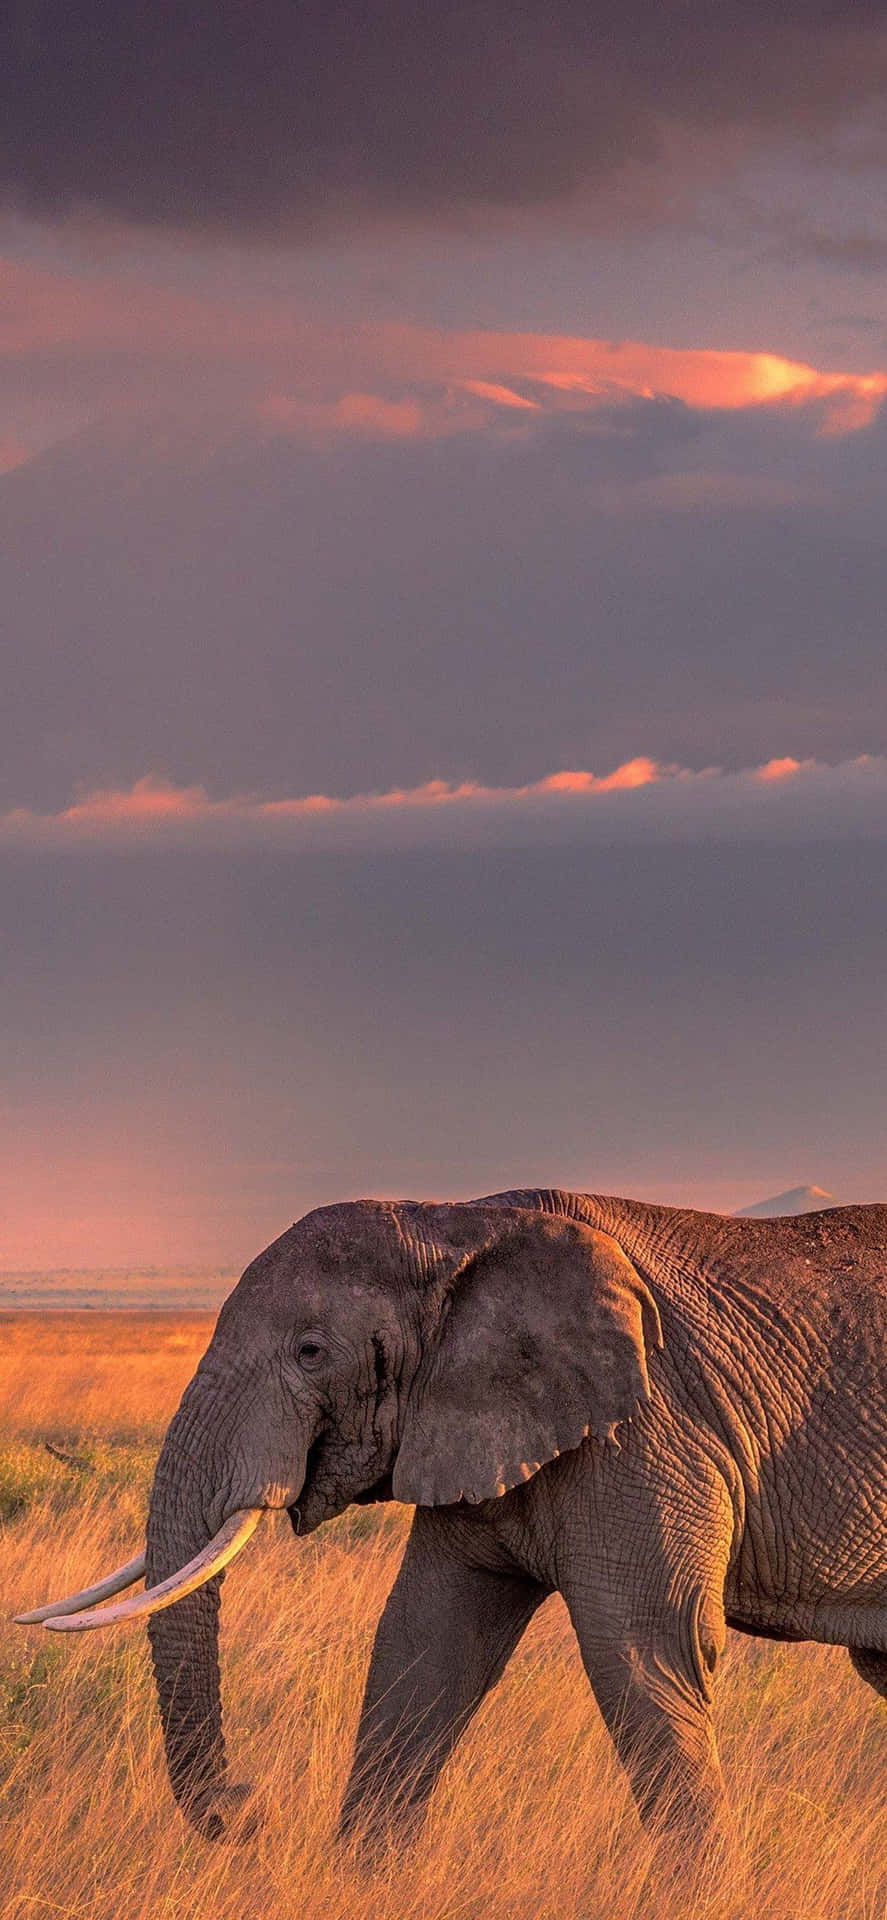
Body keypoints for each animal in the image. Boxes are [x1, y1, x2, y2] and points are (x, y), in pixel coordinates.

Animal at [17, 1187, 887, 1878]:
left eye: (310, 1351)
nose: (246, 1807)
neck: (455, 1222)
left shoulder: (649, 1430)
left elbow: (644, 1649)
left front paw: (700, 1895)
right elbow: (426, 1644)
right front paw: (363, 1885)